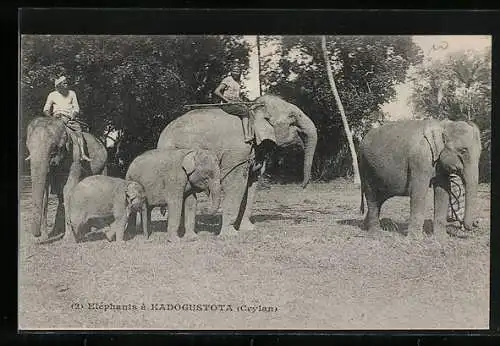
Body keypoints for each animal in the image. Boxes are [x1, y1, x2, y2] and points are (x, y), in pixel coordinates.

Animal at [157, 94, 316, 238]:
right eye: (292, 117)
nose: (302, 186)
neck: (253, 111)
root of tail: (163, 136)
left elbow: (252, 183)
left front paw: (248, 229)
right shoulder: (238, 151)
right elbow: (236, 183)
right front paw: (230, 234)